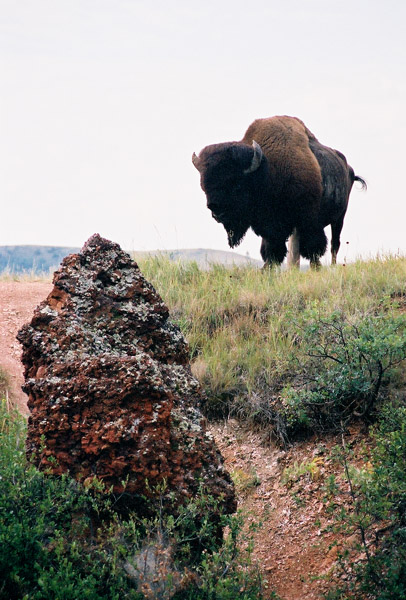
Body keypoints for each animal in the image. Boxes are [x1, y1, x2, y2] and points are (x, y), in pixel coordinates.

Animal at [192, 116, 366, 266]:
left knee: (334, 244)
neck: (267, 171)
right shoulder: (271, 228)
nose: (216, 211)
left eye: (237, 185)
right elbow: (272, 251)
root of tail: (348, 168)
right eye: (204, 187)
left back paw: (333, 266)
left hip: (339, 217)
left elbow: (312, 248)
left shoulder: (308, 221)